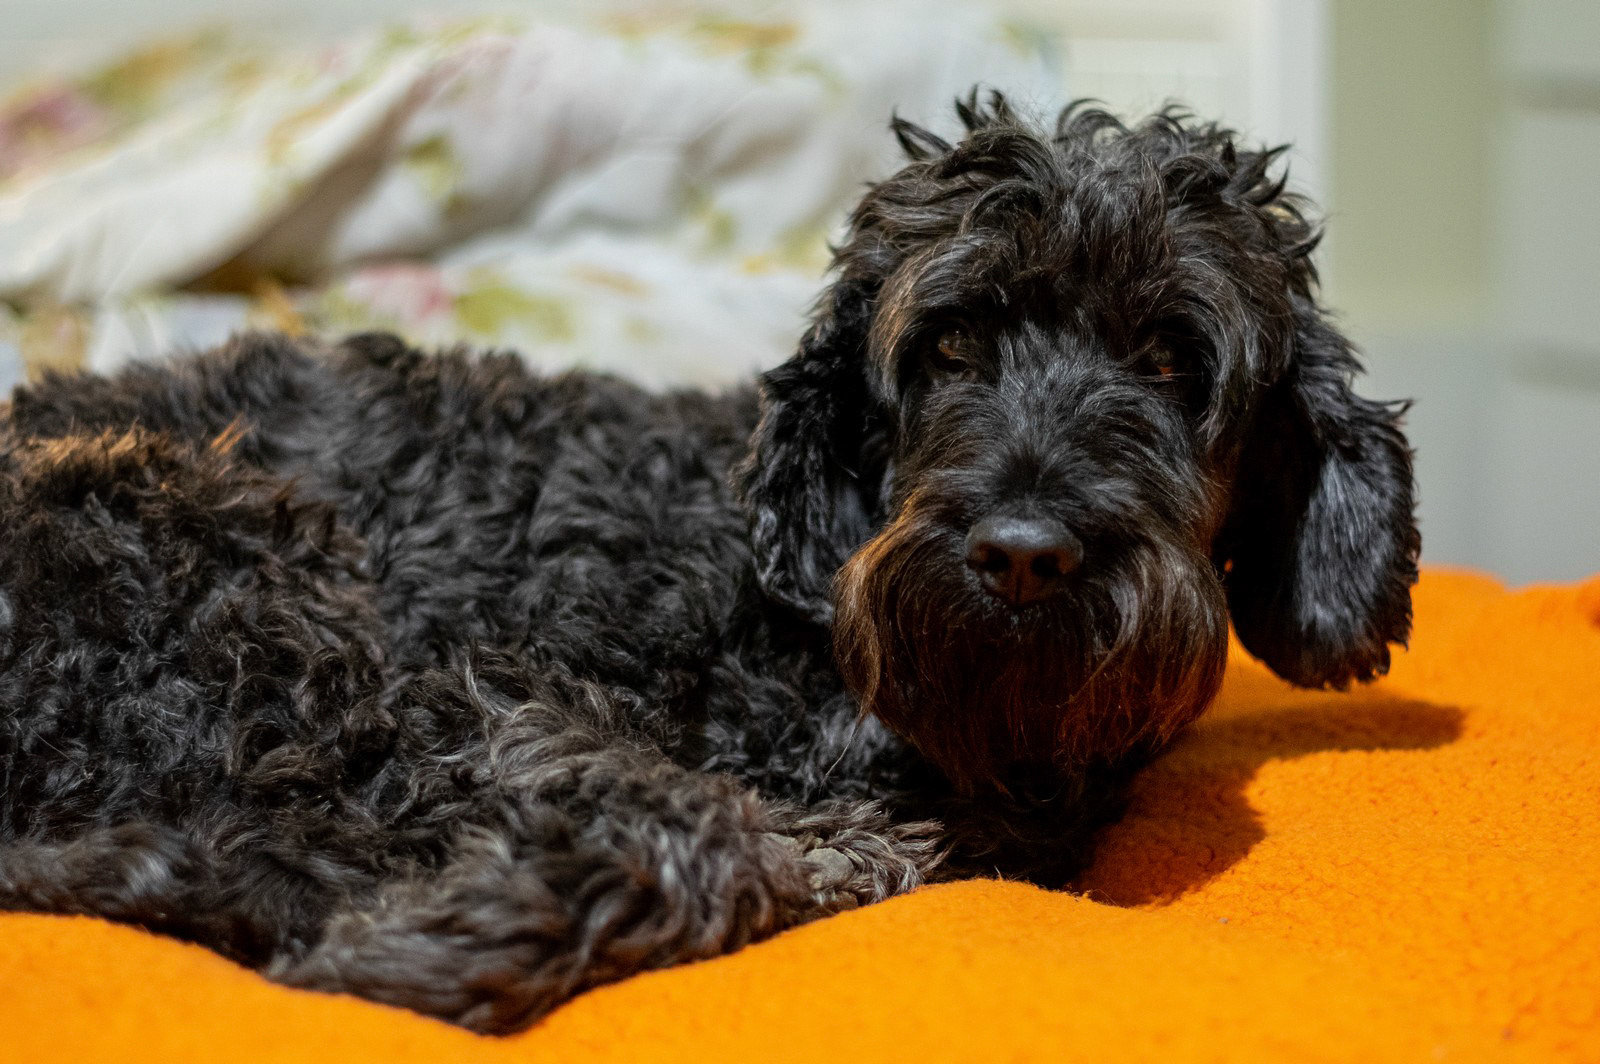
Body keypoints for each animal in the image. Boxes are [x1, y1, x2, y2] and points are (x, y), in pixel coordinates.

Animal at [0, 94, 1418, 1033]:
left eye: (1173, 361)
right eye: (950, 345)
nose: (1022, 554)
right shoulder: (488, 696)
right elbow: (717, 832)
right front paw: (438, 939)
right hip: (247, 575)